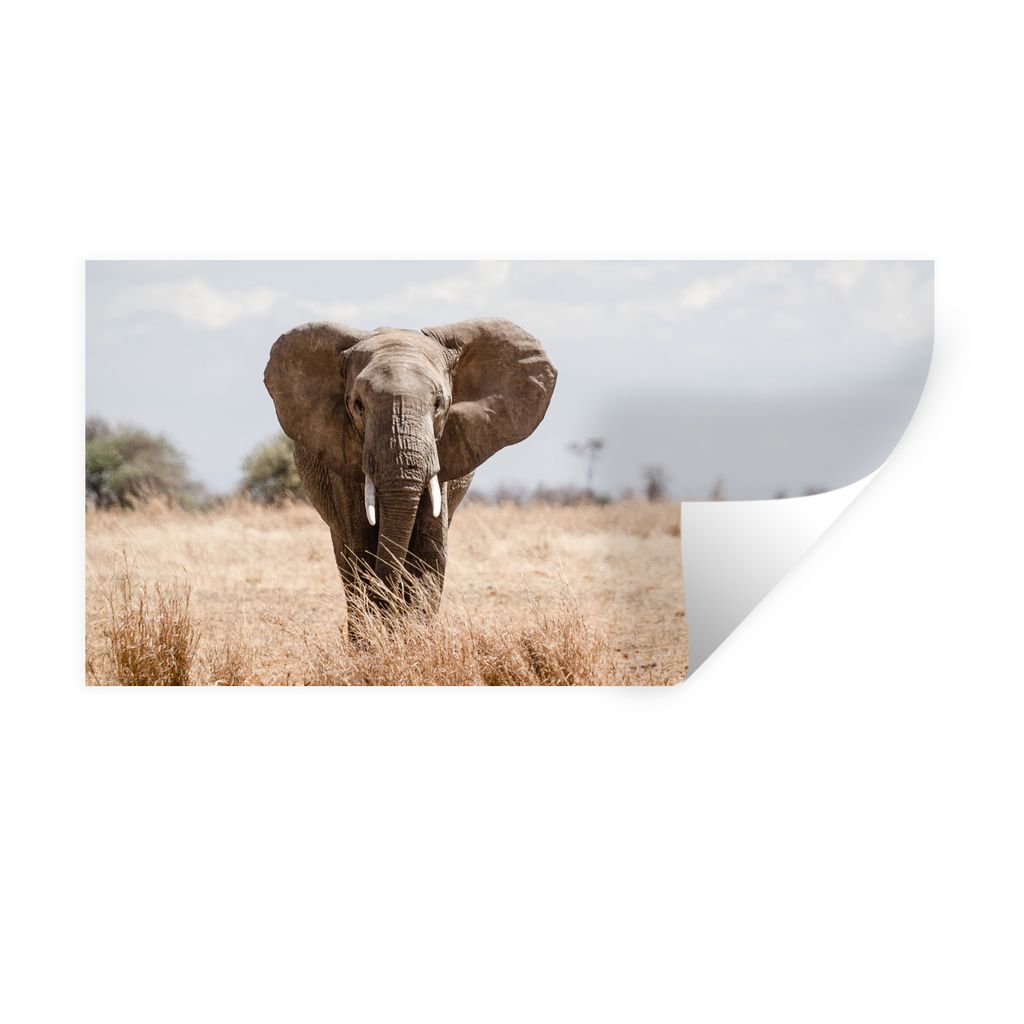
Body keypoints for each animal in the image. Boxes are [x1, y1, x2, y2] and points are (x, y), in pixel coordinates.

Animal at [263, 317, 557, 633]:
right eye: (358, 405)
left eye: (439, 404)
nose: (387, 606)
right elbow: (361, 546)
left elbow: (429, 551)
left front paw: (414, 635)